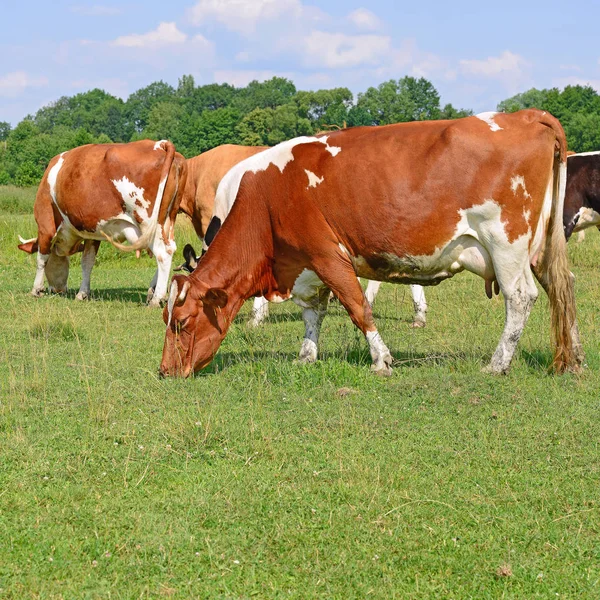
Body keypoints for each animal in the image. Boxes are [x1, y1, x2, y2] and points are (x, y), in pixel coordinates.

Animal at [17, 139, 186, 304]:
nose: (58, 290)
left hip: (147, 220)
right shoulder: (92, 232)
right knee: (170, 248)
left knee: (162, 253)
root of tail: (160, 144)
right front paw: (83, 293)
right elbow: (87, 262)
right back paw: (154, 292)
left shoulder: (46, 225)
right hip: (167, 219)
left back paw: (157, 298)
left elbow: (41, 259)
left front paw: (36, 290)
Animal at [162, 110, 584, 378]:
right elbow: (313, 314)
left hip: (505, 241)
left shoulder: (326, 254)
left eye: (182, 323)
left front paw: (381, 359)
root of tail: (526, 114)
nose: (165, 370)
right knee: (561, 287)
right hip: (539, 246)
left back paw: (498, 364)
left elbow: (357, 306)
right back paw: (575, 358)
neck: (264, 198)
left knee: (521, 297)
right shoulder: (304, 265)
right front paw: (306, 356)